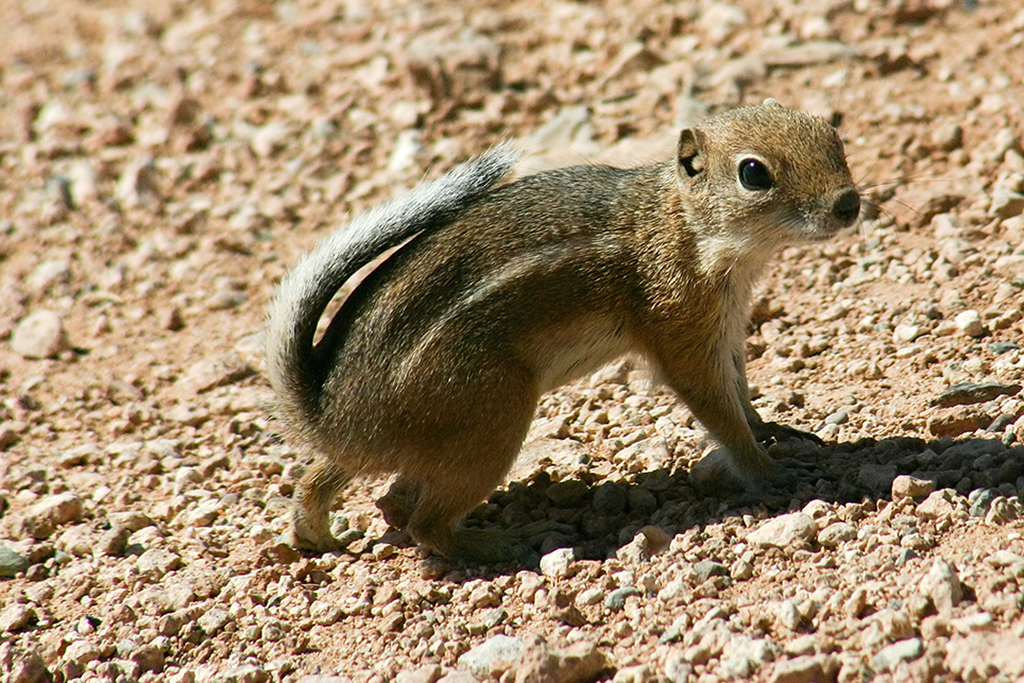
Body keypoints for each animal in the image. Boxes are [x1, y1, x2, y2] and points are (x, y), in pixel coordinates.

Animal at [268, 98, 860, 565]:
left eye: (831, 132)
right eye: (753, 172)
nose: (849, 203)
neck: (685, 226)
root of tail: (331, 414)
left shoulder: (727, 329)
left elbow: (740, 390)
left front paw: (774, 430)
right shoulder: (683, 331)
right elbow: (718, 409)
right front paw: (768, 471)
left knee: (322, 476)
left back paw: (317, 534)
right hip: (493, 418)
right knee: (424, 525)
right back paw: (506, 542)